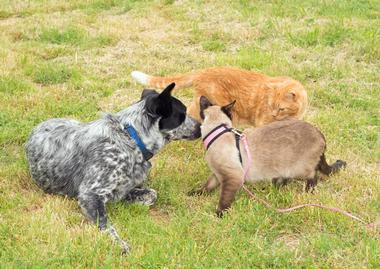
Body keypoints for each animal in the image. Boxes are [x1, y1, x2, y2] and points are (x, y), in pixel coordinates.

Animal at [26, 82, 202, 252]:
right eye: (183, 114)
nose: (201, 127)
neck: (131, 138)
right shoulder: (90, 194)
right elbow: (106, 226)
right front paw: (119, 244)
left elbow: (151, 194)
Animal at [194, 96, 346, 216]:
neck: (217, 132)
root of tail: (320, 133)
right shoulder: (217, 174)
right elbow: (207, 186)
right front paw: (196, 193)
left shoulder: (232, 177)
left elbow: (224, 199)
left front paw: (219, 214)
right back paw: (278, 186)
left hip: (299, 170)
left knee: (313, 176)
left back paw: (307, 192)